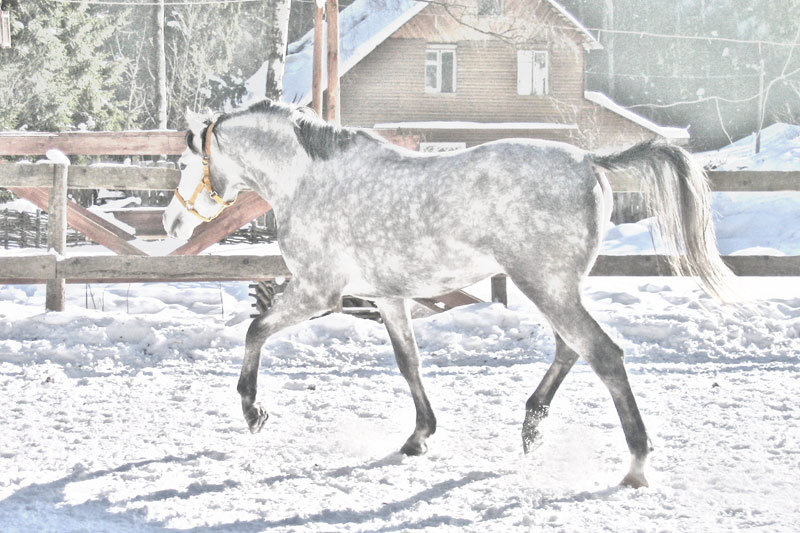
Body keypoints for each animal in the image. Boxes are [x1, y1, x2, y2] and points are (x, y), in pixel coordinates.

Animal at [166, 98, 736, 486]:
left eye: (184, 162)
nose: (172, 222)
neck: (308, 181)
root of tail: (591, 161)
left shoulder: (317, 292)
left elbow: (255, 330)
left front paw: (253, 412)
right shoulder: (388, 297)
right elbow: (408, 363)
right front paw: (419, 436)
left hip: (545, 284)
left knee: (603, 354)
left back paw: (635, 465)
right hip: (553, 286)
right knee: (570, 348)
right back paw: (532, 427)